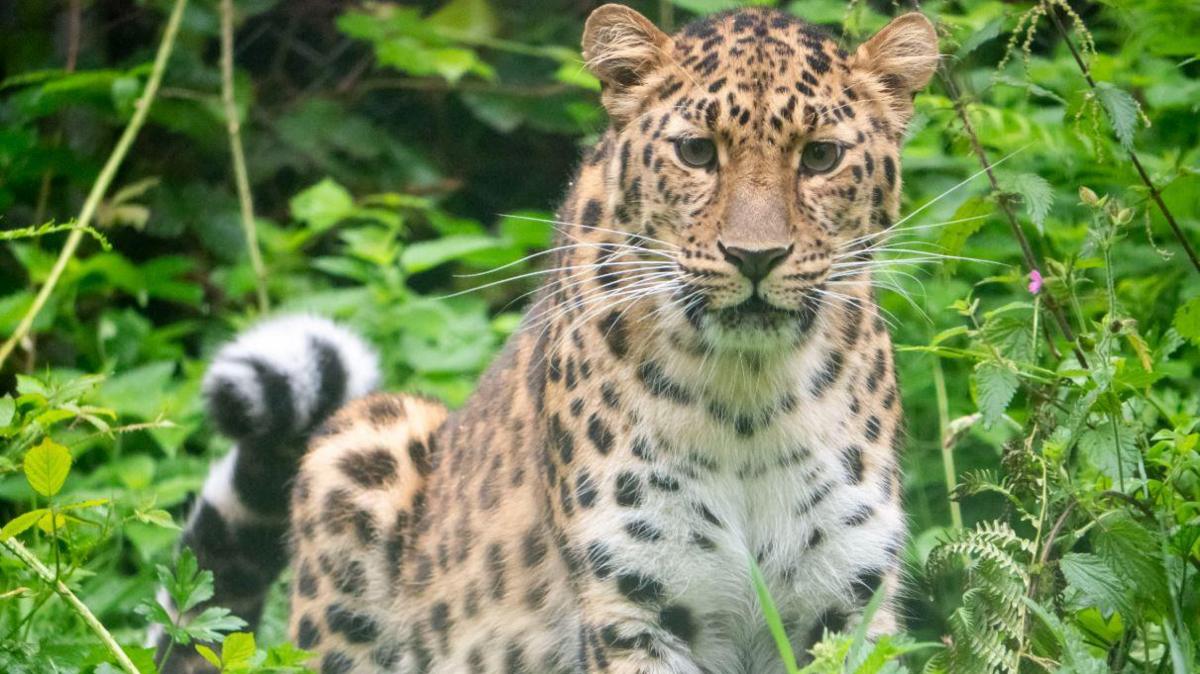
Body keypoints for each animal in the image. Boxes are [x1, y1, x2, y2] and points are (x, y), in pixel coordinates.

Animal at [156, 5, 939, 673]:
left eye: (821, 157)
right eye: (696, 152)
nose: (755, 256)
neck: (748, 399)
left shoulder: (846, 604)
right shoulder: (636, 607)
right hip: (364, 441)